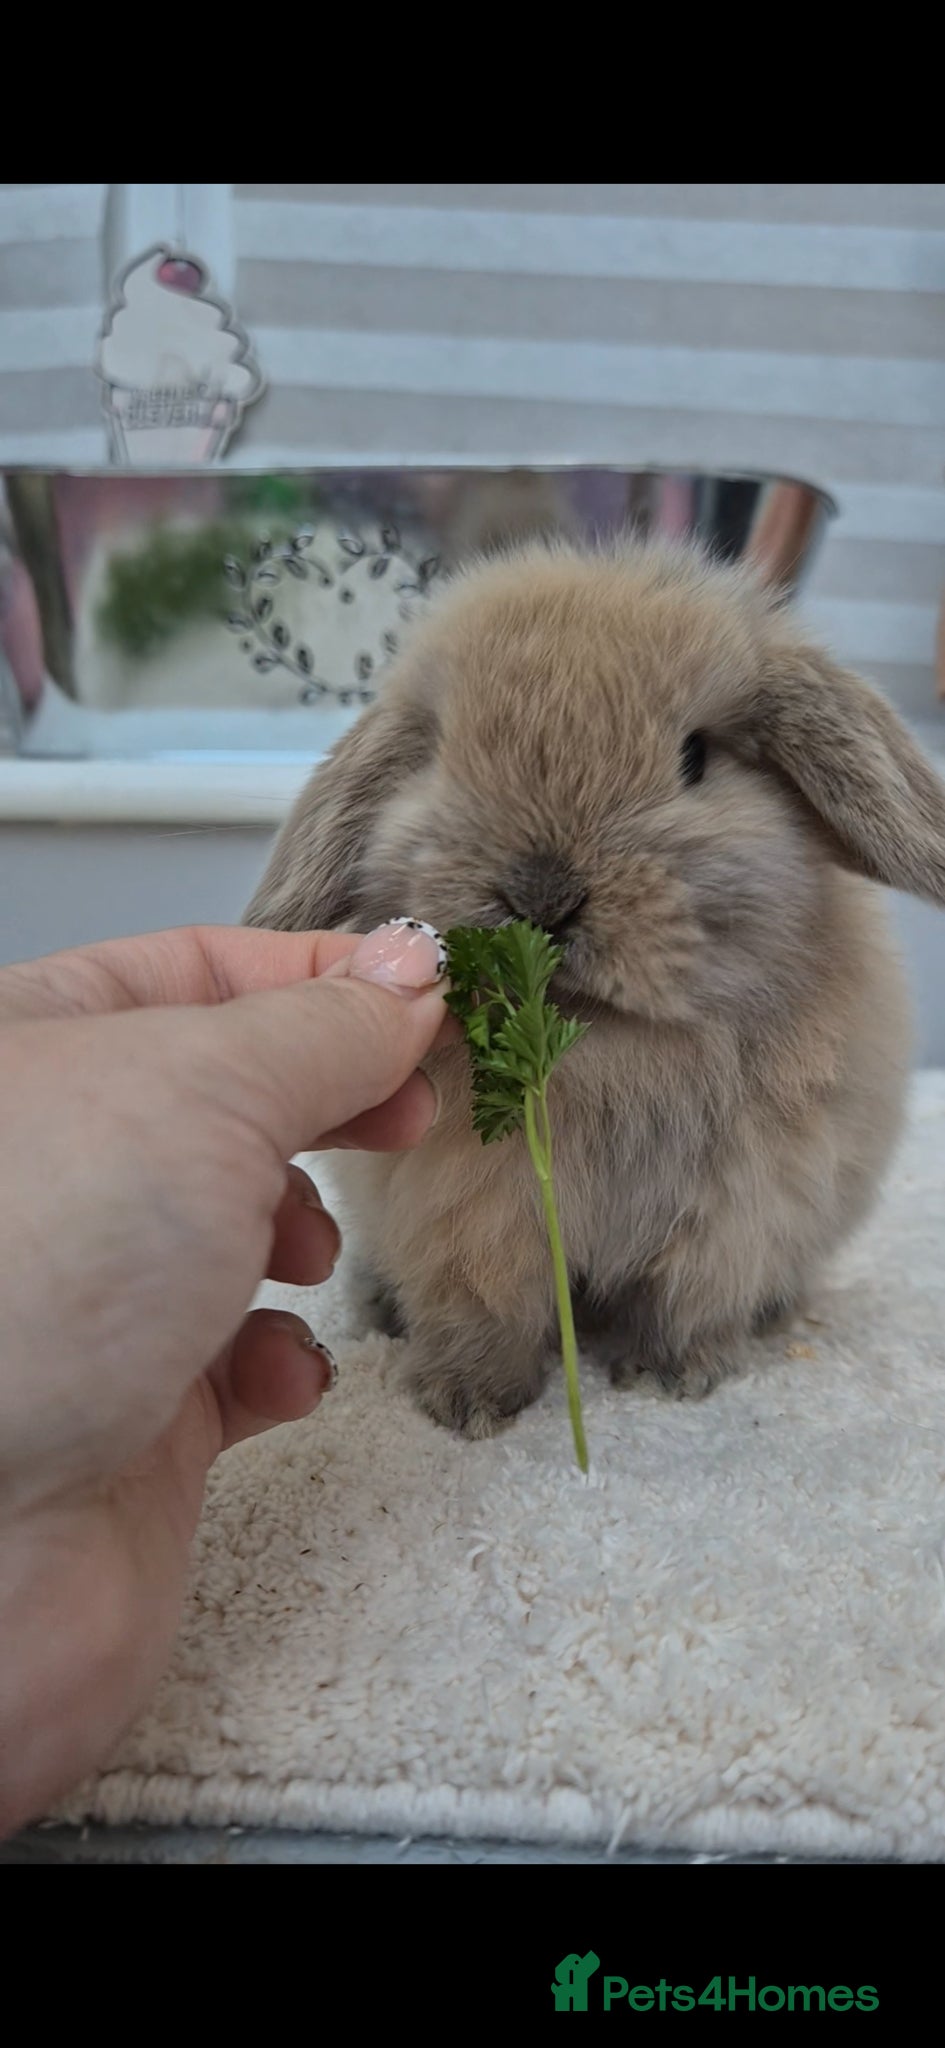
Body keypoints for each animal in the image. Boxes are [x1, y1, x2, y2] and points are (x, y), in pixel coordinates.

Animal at [244, 539, 945, 1441]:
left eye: (695, 757)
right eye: (438, 754)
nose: (541, 895)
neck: (608, 1048)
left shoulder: (733, 1222)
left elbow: (686, 1306)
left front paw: (668, 1379)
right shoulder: (468, 1225)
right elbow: (484, 1316)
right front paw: (466, 1407)